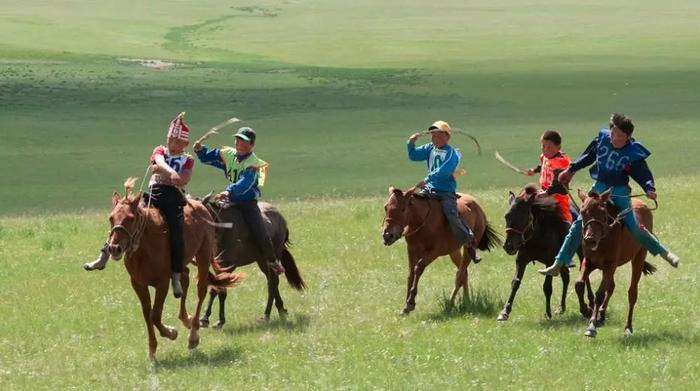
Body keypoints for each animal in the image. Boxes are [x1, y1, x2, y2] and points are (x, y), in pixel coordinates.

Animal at [106, 179, 242, 360]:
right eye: (111, 218)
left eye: (130, 218)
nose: (114, 248)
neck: (146, 244)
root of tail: (201, 205)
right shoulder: (138, 284)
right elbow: (147, 314)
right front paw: (152, 349)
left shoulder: (162, 283)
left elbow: (155, 315)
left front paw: (171, 333)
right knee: (184, 279)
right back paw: (186, 320)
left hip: (203, 255)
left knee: (201, 290)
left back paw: (193, 336)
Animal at [198, 198, 304, 326]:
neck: (224, 230)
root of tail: (281, 219)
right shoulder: (218, 266)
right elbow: (217, 288)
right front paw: (206, 318)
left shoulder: (228, 266)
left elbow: (218, 289)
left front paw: (215, 320)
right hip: (262, 261)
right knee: (272, 282)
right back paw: (281, 310)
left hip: (271, 258)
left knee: (272, 283)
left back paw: (267, 315)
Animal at [380, 186, 500, 316]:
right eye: (386, 207)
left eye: (403, 209)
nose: (388, 235)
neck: (422, 221)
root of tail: (478, 207)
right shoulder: (412, 250)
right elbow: (411, 274)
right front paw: (405, 306)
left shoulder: (434, 252)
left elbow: (418, 268)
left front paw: (410, 303)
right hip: (454, 251)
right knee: (464, 273)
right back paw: (466, 301)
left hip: (467, 249)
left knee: (460, 274)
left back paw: (450, 304)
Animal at [498, 185, 592, 324]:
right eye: (507, 216)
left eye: (526, 216)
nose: (509, 246)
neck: (537, 236)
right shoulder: (521, 260)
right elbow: (515, 282)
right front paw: (505, 312)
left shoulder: (549, 261)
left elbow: (547, 287)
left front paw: (547, 313)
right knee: (566, 277)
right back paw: (561, 307)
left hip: (580, 252)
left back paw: (590, 302)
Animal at [576, 188, 656, 338]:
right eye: (582, 212)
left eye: (602, 212)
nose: (590, 240)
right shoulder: (589, 262)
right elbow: (579, 284)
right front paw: (586, 310)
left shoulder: (609, 266)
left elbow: (600, 294)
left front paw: (591, 326)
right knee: (611, 287)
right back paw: (601, 315)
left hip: (638, 258)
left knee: (632, 293)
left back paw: (628, 327)